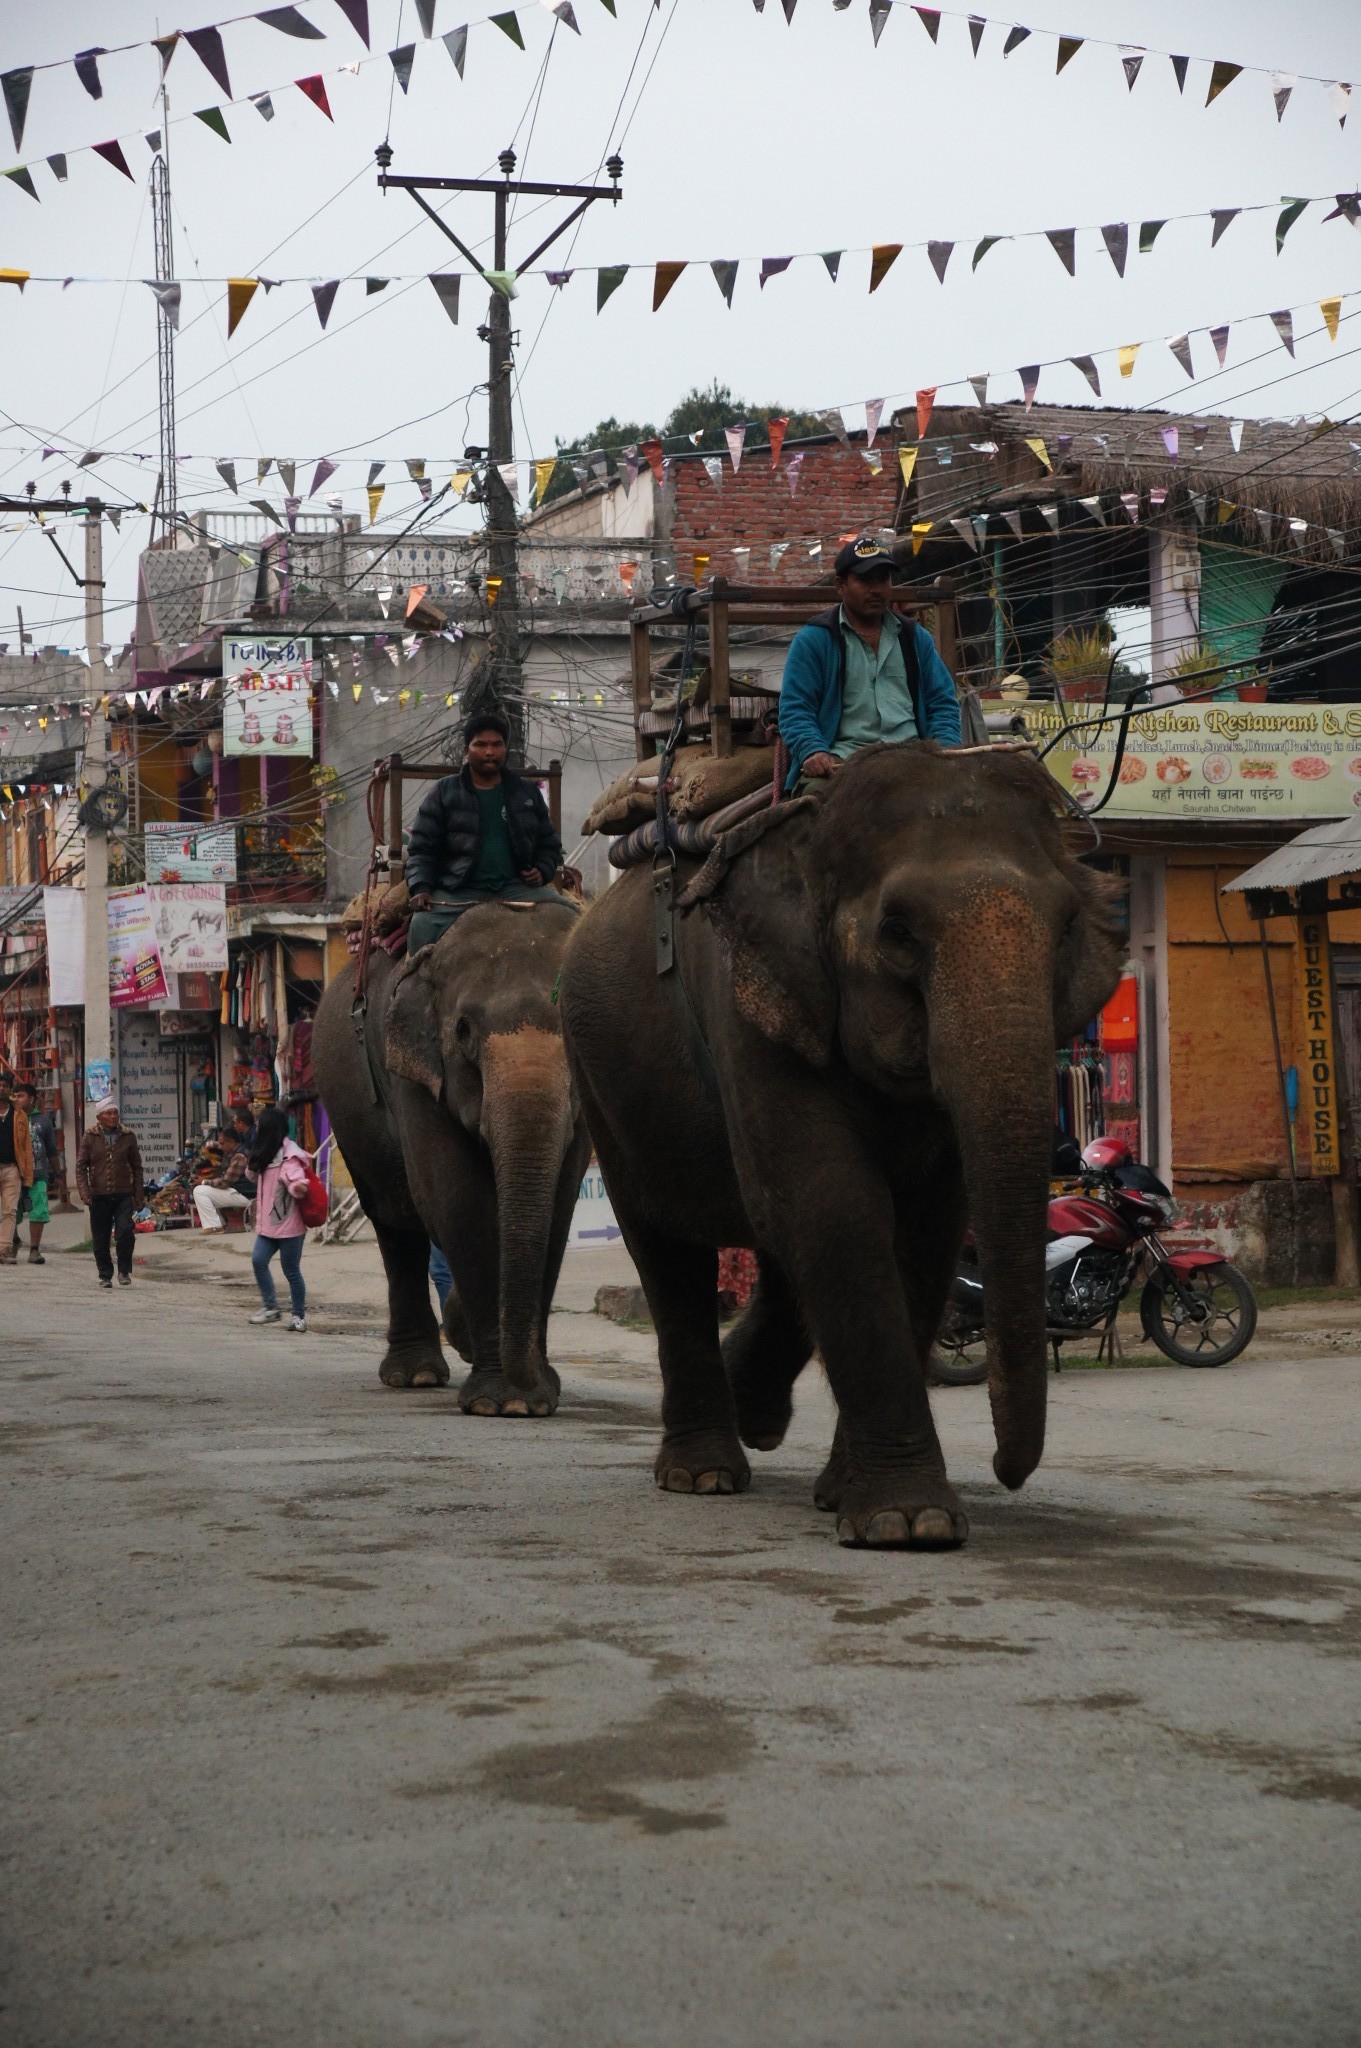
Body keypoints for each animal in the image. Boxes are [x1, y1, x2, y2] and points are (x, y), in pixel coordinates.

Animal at [313, 905, 589, 1417]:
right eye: (463, 1031)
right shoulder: (413, 1075)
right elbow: (455, 1198)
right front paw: (504, 1403)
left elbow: (560, 1208)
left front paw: (539, 1397)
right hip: (345, 1100)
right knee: (395, 1221)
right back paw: (414, 1375)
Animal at [556, 745, 1121, 1540]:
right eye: (898, 932)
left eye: (1068, 925)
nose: (1007, 1472)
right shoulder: (746, 1004)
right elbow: (835, 1206)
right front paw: (909, 1523)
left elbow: (924, 1228)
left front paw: (851, 1499)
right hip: (600, 1077)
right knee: (668, 1249)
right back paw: (703, 1473)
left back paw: (756, 1416)